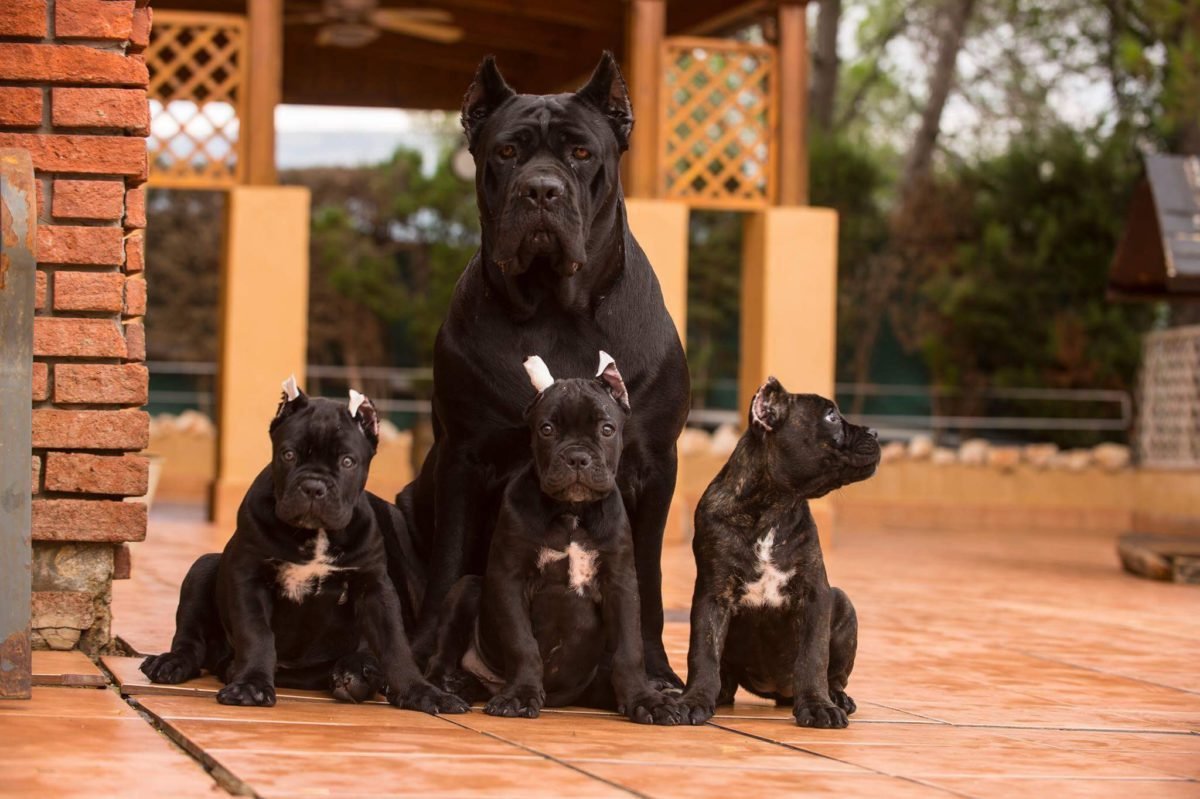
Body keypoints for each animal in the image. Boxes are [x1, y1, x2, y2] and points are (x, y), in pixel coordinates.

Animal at [137, 376, 463, 710]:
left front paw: (422, 692)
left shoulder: (374, 588)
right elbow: (257, 635)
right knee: (190, 638)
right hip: (202, 567)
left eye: (348, 461)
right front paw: (251, 685)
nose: (313, 486)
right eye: (288, 455)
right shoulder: (248, 578)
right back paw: (172, 663)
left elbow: (395, 646)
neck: (316, 535)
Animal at [398, 51, 691, 686]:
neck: (557, 308)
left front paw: (655, 670)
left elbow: (649, 578)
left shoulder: (655, 464)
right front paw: (423, 653)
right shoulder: (463, 455)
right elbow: (449, 565)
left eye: (581, 153)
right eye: (507, 151)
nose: (540, 190)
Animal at [427, 352, 681, 724]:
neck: (572, 513)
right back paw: (447, 688)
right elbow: (523, 644)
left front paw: (644, 699)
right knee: (442, 652)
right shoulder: (510, 579)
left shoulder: (620, 584)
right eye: (547, 429)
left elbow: (630, 649)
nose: (577, 457)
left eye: (607, 429)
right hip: (465, 589)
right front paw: (520, 695)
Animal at [676, 376, 883, 724]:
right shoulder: (712, 596)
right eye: (830, 416)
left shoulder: (815, 594)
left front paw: (818, 706)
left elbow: (813, 658)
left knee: (834, 676)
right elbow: (703, 653)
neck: (775, 505)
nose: (876, 433)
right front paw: (695, 699)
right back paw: (719, 693)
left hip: (843, 603)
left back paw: (837, 698)